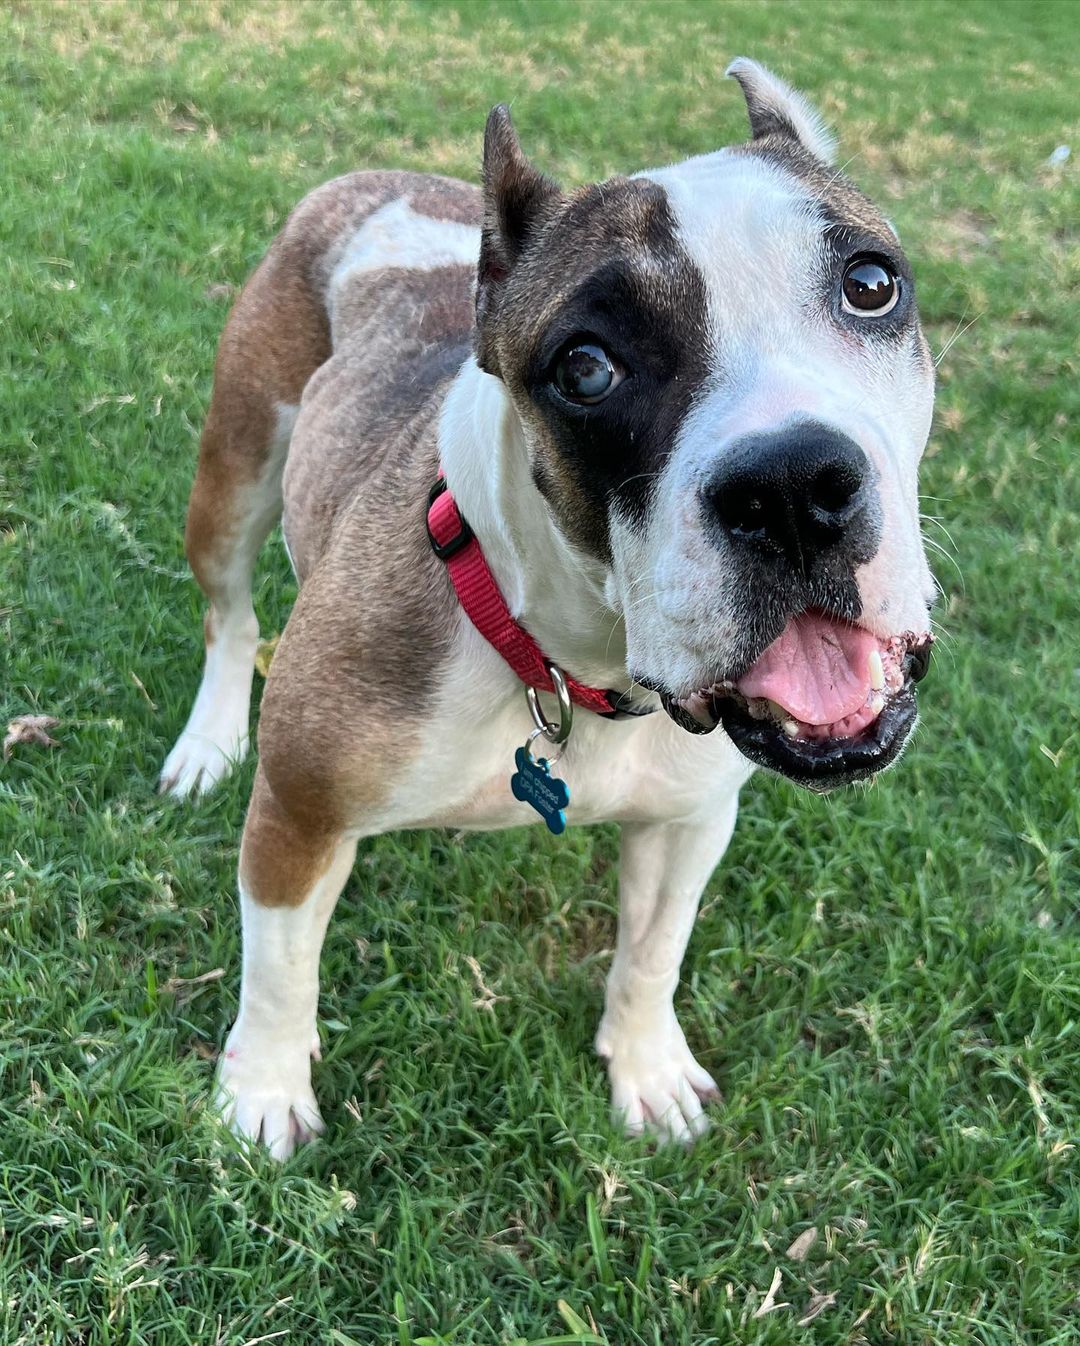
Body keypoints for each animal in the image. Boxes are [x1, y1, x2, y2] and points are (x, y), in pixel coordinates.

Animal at [160, 60, 931, 1157]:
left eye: (871, 285)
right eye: (586, 367)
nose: (790, 484)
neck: (575, 666)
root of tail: (378, 178)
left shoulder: (689, 823)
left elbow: (652, 952)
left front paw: (645, 1065)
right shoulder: (299, 813)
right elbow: (277, 970)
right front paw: (262, 1090)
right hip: (234, 473)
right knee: (230, 617)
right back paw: (209, 739)